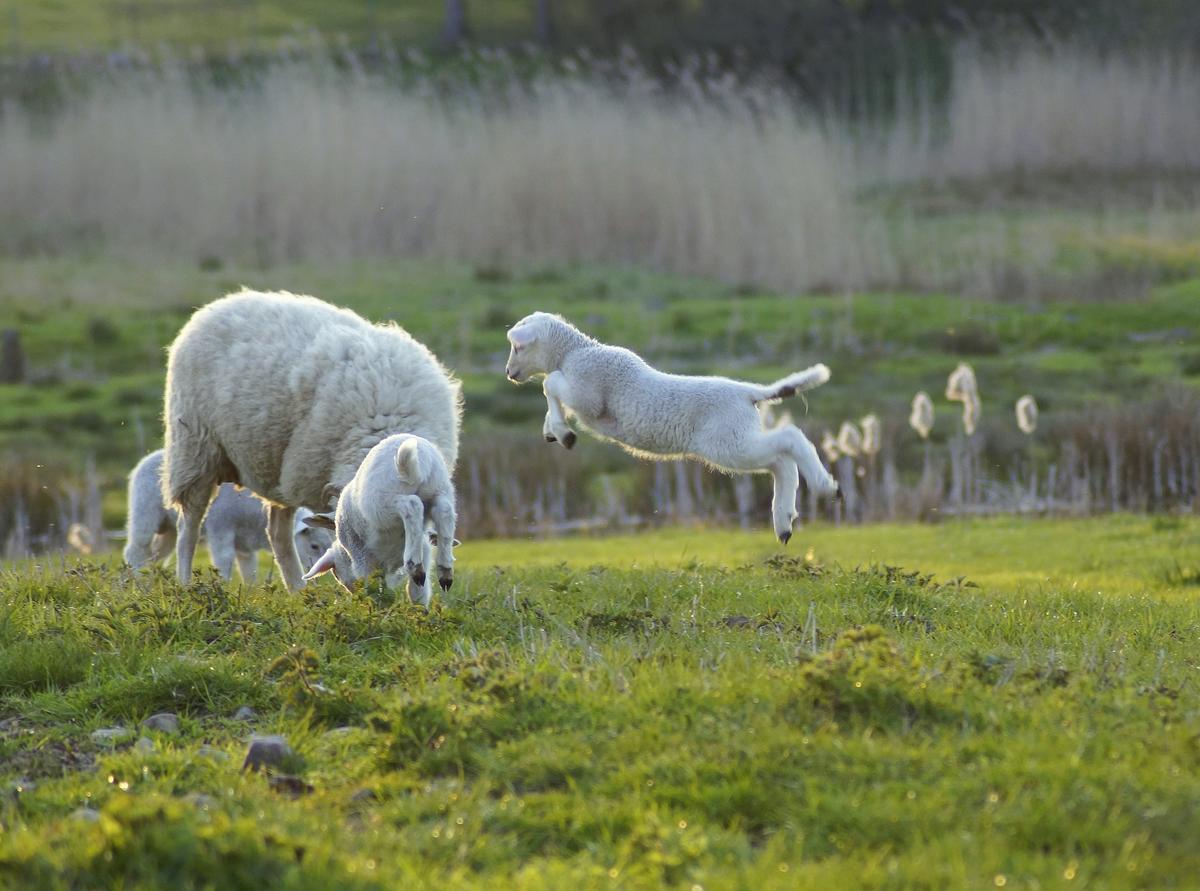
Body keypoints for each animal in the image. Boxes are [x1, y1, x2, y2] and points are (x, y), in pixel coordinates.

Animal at [124, 449, 333, 581]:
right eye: (314, 546)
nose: (321, 574)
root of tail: (146, 459)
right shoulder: (221, 529)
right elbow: (223, 562)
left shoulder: (245, 545)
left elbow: (250, 573)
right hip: (144, 513)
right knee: (135, 551)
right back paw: (132, 584)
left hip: (169, 530)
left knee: (153, 556)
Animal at [300, 433, 457, 607]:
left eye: (336, 573)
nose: (351, 591)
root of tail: (423, 458)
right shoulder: (424, 547)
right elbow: (416, 592)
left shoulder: (361, 556)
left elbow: (372, 587)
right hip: (440, 489)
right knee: (444, 510)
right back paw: (445, 571)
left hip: (382, 502)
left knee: (411, 505)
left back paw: (414, 566)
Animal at [504, 311, 837, 543]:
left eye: (517, 347)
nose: (508, 373)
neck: (573, 353)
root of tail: (748, 393)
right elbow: (551, 391)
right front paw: (553, 430)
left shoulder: (587, 394)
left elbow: (550, 383)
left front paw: (564, 433)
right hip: (736, 441)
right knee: (781, 462)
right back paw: (784, 522)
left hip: (730, 442)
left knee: (789, 440)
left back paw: (825, 486)